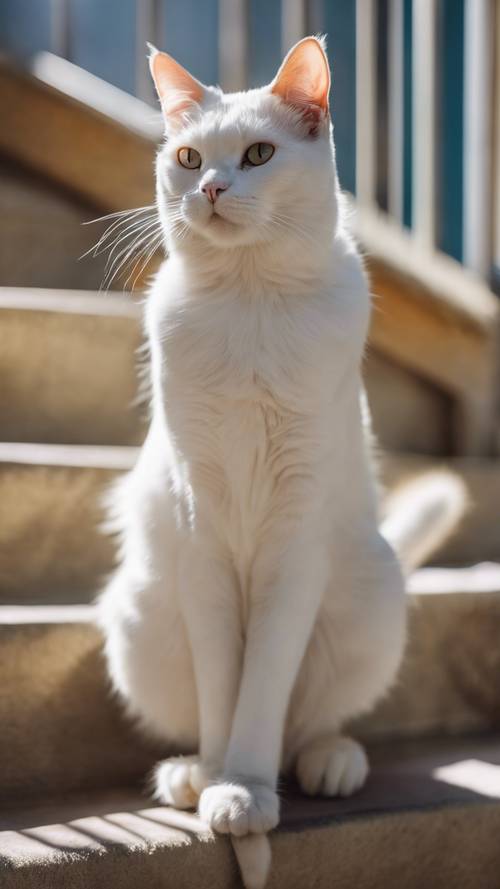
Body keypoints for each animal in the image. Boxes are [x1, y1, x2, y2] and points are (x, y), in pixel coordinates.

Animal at [99, 38, 466, 884]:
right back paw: (190, 772)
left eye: (259, 155)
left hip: (372, 597)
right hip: (140, 615)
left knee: (309, 722)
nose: (209, 186)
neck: (250, 305)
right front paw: (221, 782)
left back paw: (330, 762)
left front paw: (246, 789)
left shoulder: (294, 536)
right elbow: (223, 682)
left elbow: (263, 685)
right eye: (189, 156)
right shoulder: (201, 524)